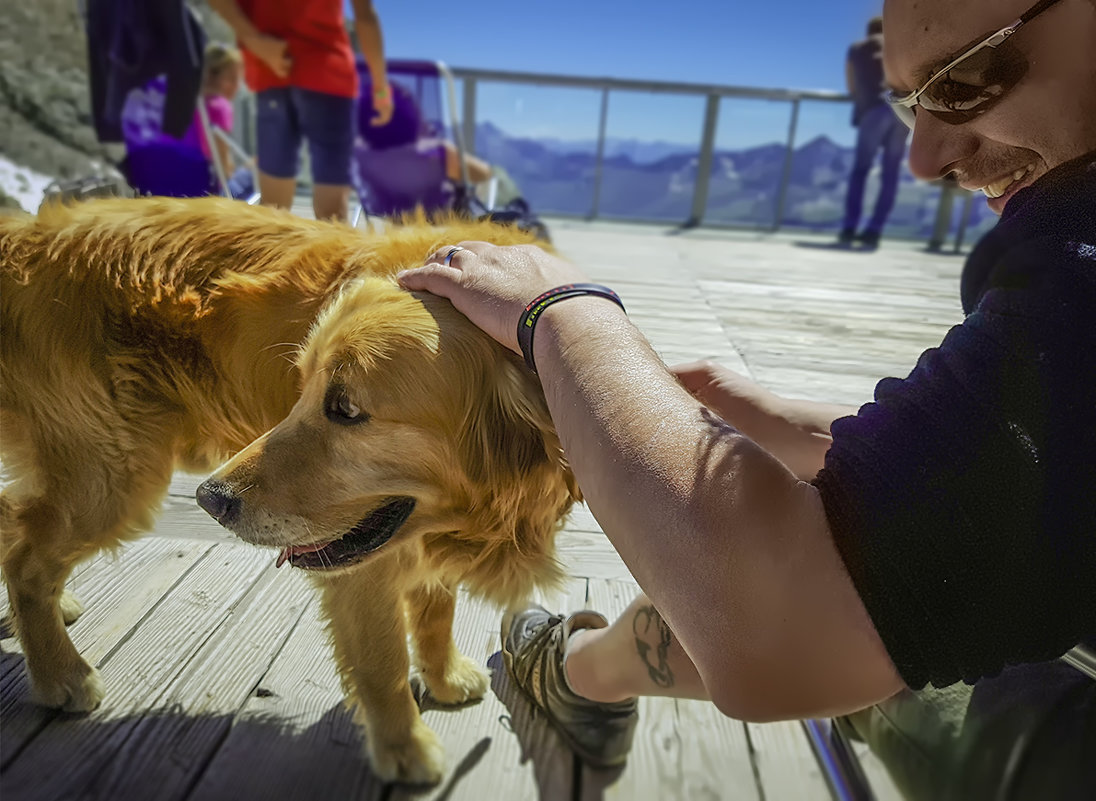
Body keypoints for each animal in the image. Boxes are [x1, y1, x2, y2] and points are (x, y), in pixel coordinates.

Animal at [0, 197, 578, 784]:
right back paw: (61, 673)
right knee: (28, 561)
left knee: (13, 523)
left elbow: (437, 610)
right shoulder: (364, 570)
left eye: (345, 407)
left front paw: (444, 678)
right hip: (110, 475)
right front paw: (405, 748)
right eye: (301, 388)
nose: (211, 499)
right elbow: (384, 664)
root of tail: (25, 234)